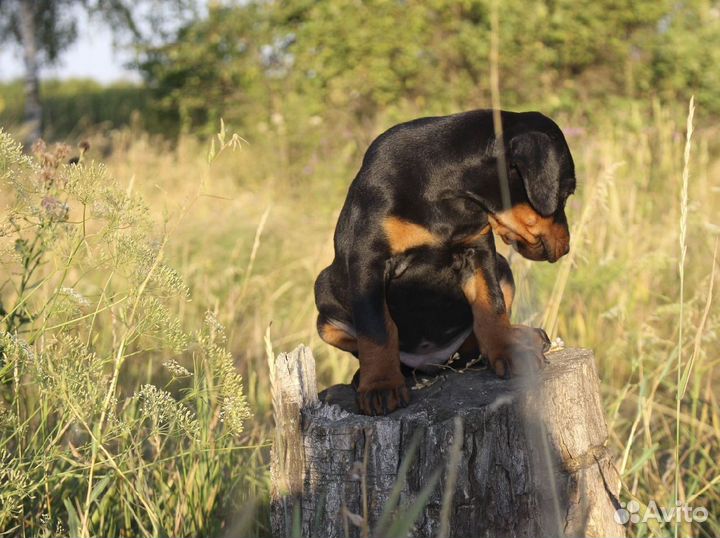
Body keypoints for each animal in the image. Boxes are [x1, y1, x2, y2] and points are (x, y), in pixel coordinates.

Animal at [314, 109, 572, 414]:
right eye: (565, 194)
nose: (567, 246)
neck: (443, 190)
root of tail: (431, 363)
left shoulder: (477, 251)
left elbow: (491, 305)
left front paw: (507, 349)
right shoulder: (368, 260)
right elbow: (377, 329)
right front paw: (380, 385)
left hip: (502, 267)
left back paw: (523, 337)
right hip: (323, 295)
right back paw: (363, 377)